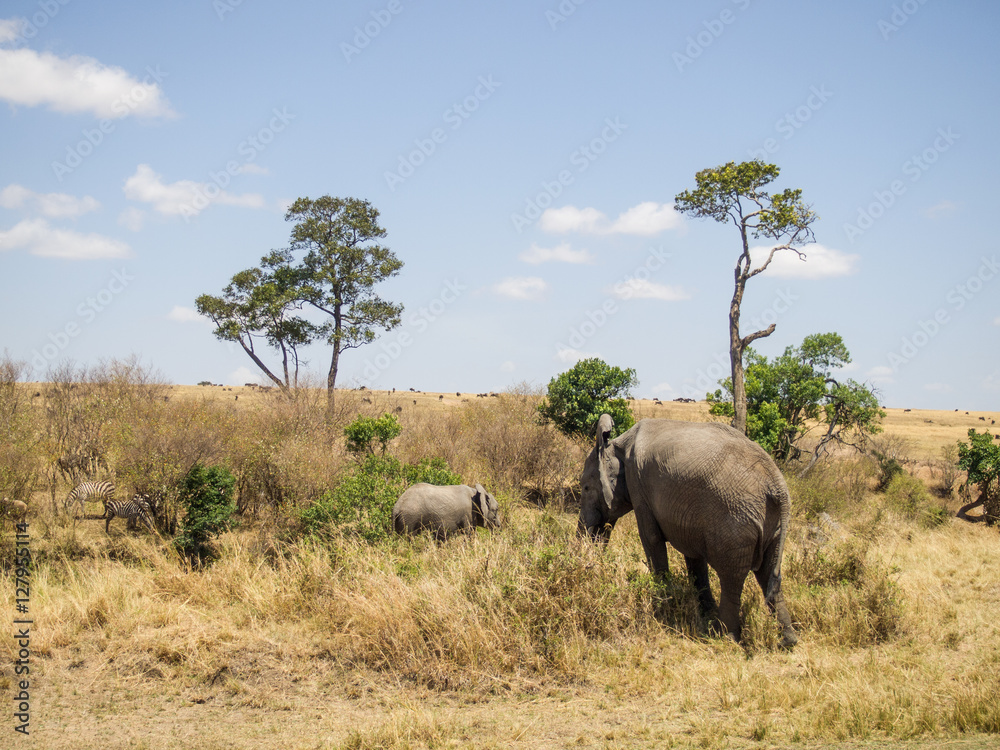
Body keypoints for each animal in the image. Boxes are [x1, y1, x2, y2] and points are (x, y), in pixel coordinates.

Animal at [579, 414, 798, 648]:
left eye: (585, 488)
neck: (617, 443)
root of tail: (777, 488)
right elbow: (693, 554)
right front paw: (704, 612)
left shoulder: (638, 484)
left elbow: (651, 539)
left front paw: (663, 605)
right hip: (772, 528)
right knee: (769, 573)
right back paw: (787, 641)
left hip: (735, 522)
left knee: (732, 577)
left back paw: (724, 637)